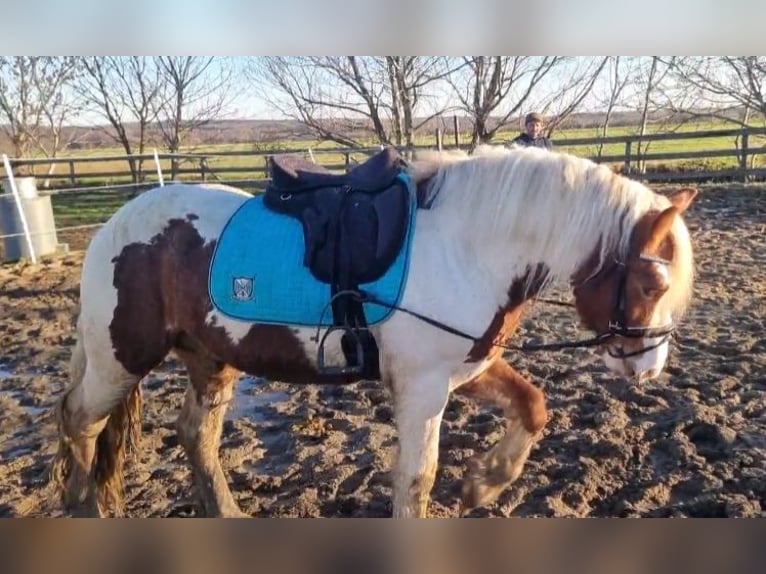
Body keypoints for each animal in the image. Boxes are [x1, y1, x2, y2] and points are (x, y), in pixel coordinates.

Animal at [51, 145, 696, 518]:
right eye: (651, 283)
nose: (650, 366)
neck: (467, 246)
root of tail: (116, 225)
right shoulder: (423, 387)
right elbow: (416, 478)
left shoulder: (467, 369)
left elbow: (533, 408)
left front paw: (483, 484)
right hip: (121, 357)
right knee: (81, 422)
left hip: (209, 358)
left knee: (194, 436)